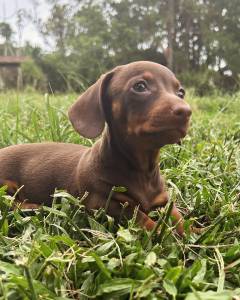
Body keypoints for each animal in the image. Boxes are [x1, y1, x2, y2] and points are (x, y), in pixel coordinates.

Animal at [0, 60, 191, 234]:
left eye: (181, 92)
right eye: (140, 86)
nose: (186, 111)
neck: (143, 169)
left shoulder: (163, 201)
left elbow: (178, 217)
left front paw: (192, 232)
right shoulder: (102, 203)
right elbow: (139, 217)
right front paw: (164, 234)